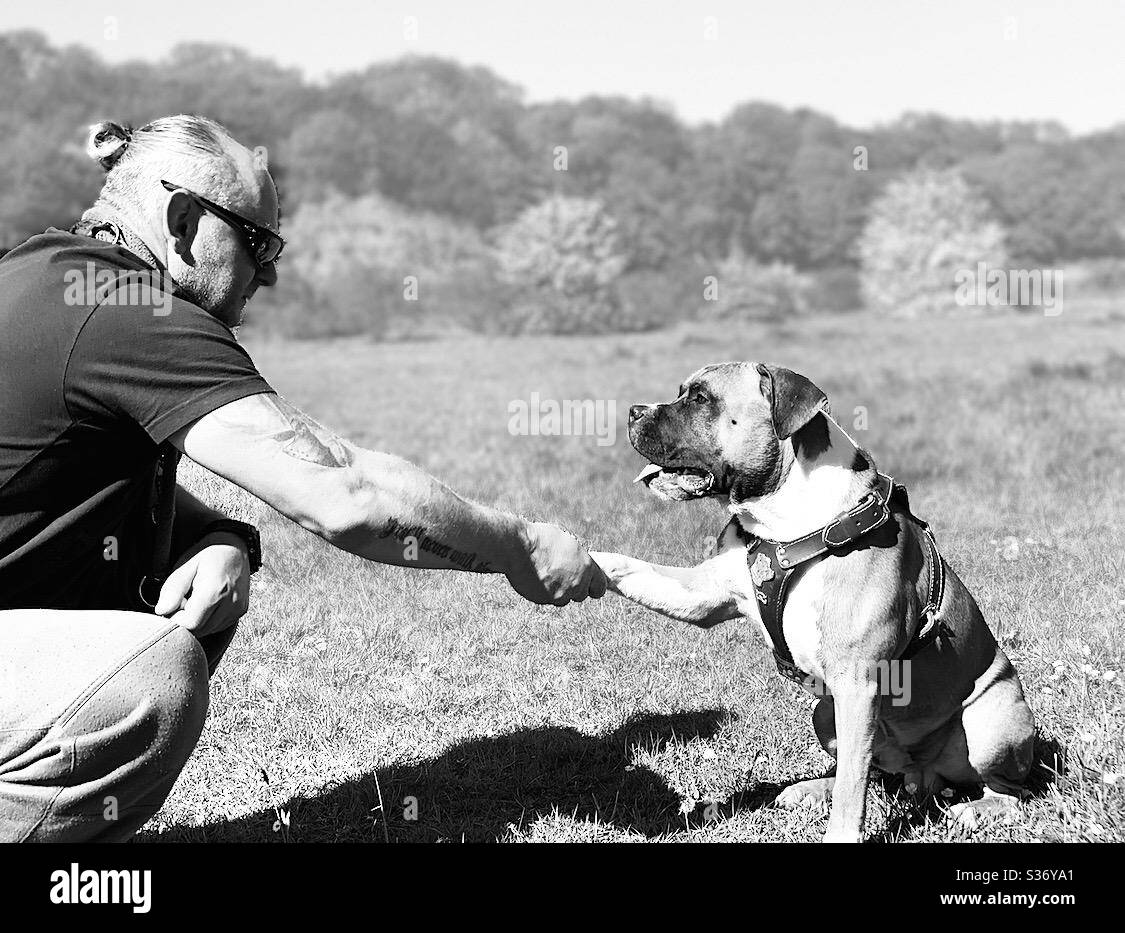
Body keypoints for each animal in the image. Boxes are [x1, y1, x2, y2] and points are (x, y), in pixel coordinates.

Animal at [594, 360, 1030, 841]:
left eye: (701, 399)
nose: (633, 411)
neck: (784, 519)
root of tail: (922, 774)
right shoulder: (708, 591)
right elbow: (631, 569)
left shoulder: (859, 682)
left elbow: (852, 790)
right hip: (826, 712)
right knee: (870, 771)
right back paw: (812, 790)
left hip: (990, 722)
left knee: (1009, 790)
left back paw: (977, 809)